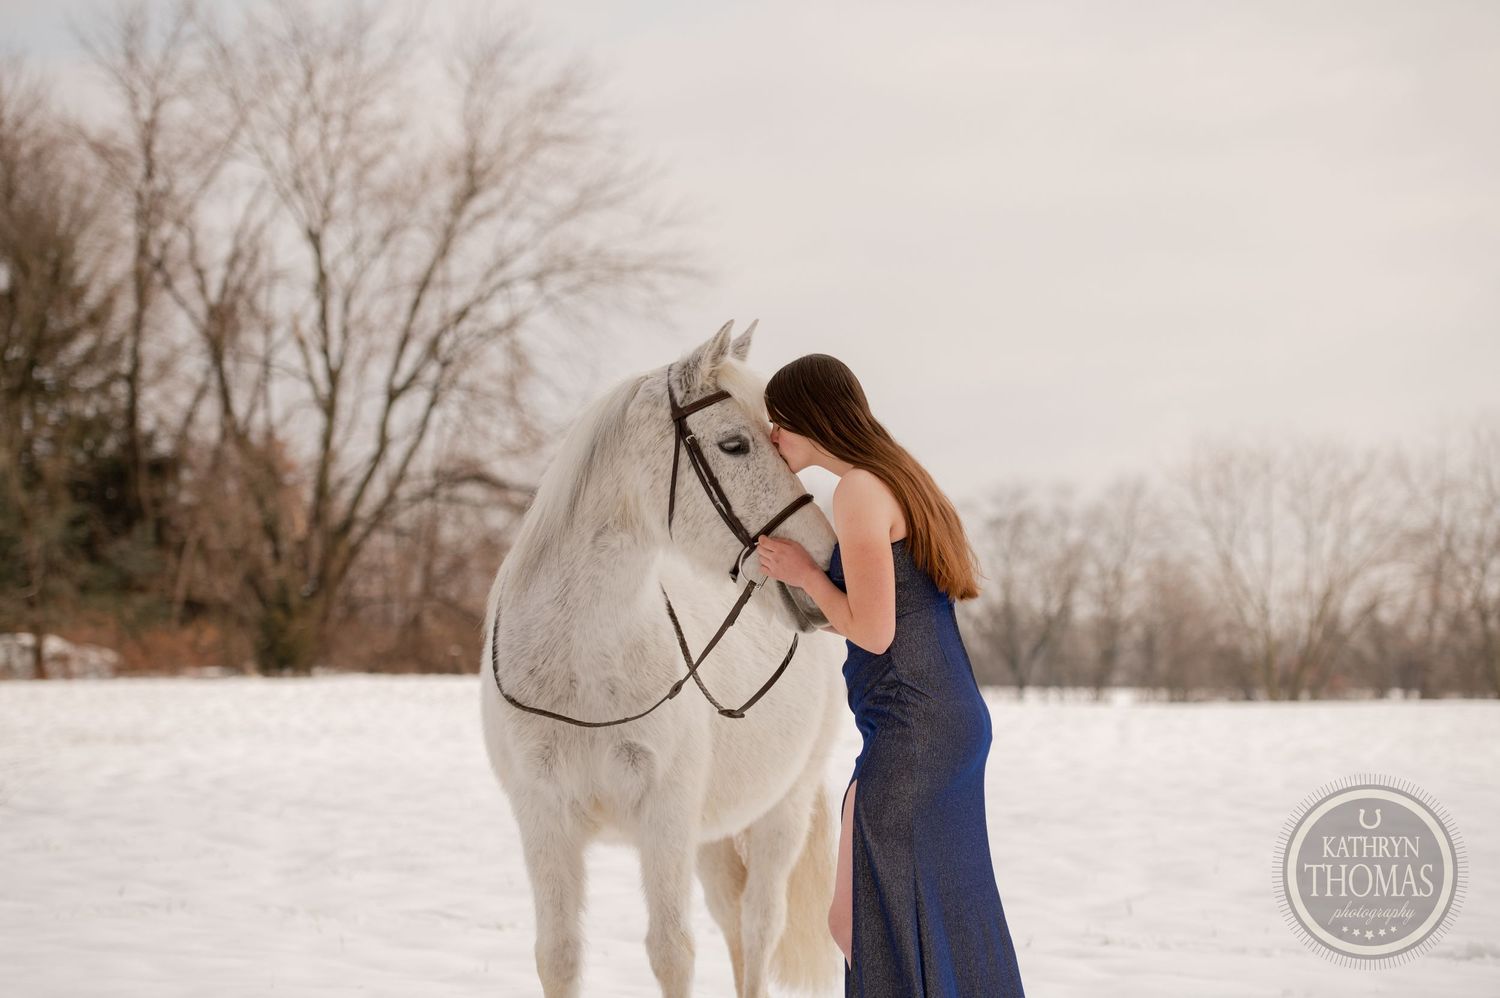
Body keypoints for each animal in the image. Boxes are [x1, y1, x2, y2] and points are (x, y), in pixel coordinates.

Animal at [479, 320, 847, 997]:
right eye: (734, 445)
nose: (829, 567)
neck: (583, 666)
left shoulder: (665, 819)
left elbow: (672, 952)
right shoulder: (543, 817)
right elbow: (559, 955)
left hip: (781, 811)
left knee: (759, 928)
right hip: (712, 836)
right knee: (735, 927)